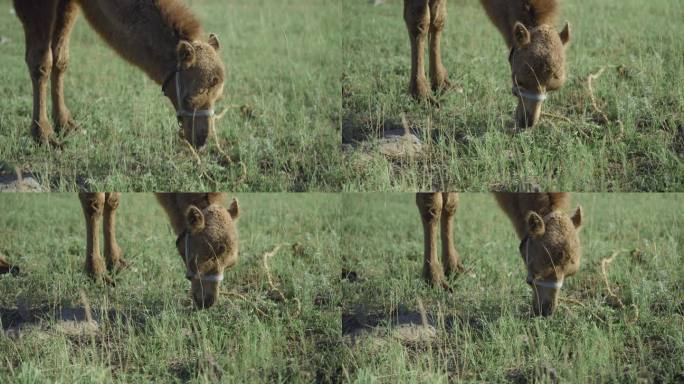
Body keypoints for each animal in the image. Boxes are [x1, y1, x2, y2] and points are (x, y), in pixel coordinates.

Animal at [13, 0, 226, 148]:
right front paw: (43, 135)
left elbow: (60, 58)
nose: (202, 139)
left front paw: (66, 125)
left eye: (218, 97)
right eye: (189, 99)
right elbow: (41, 62)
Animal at [76, 192, 239, 308]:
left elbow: (112, 200)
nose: (207, 301)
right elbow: (94, 202)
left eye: (230, 264)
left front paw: (115, 262)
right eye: (203, 258)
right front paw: (96, 273)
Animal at [406, 0, 572, 128]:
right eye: (518, 80)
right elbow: (419, 20)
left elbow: (438, 19)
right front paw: (421, 95)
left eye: (552, 88)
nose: (528, 121)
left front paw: (442, 84)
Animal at [416, 192, 584, 316]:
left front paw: (454, 268)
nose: (546, 310)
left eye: (570, 274)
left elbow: (450, 203)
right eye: (535, 272)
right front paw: (434, 280)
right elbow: (431, 205)